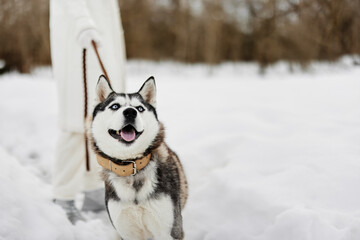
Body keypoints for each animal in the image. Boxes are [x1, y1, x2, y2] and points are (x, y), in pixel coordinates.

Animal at [90, 75, 188, 240]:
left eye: (140, 108)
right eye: (115, 106)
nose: (130, 112)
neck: (131, 168)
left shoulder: (169, 231)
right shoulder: (126, 232)